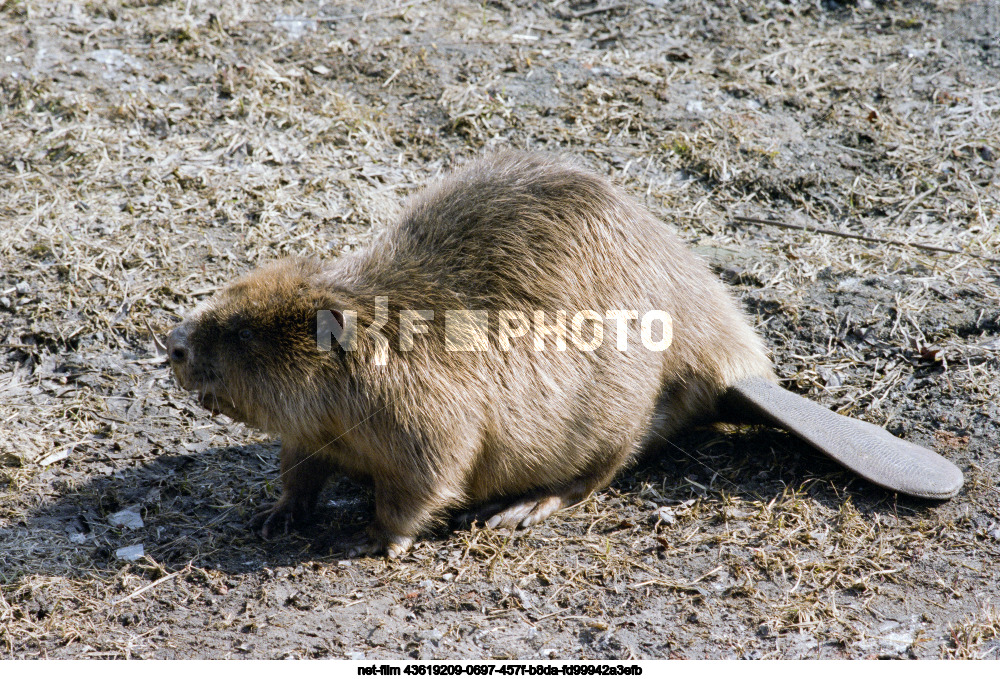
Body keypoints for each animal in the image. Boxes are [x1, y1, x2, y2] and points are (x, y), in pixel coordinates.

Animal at [164, 150, 960, 556]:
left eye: (242, 333)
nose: (173, 345)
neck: (388, 333)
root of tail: (739, 369)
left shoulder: (427, 411)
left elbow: (429, 475)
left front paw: (382, 539)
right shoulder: (312, 427)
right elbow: (298, 466)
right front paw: (274, 517)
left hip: (615, 410)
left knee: (599, 472)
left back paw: (518, 511)